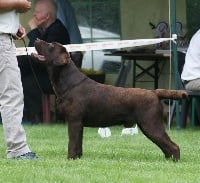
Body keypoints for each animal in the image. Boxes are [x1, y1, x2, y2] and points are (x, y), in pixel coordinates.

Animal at [33, 39, 188, 161]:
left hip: (151, 124)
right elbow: (78, 145)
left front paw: (70, 159)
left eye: (51, 45)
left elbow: (72, 144)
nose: (36, 39)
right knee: (166, 146)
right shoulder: (79, 124)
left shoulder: (74, 121)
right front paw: (77, 158)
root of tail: (154, 92)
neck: (68, 83)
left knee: (174, 146)